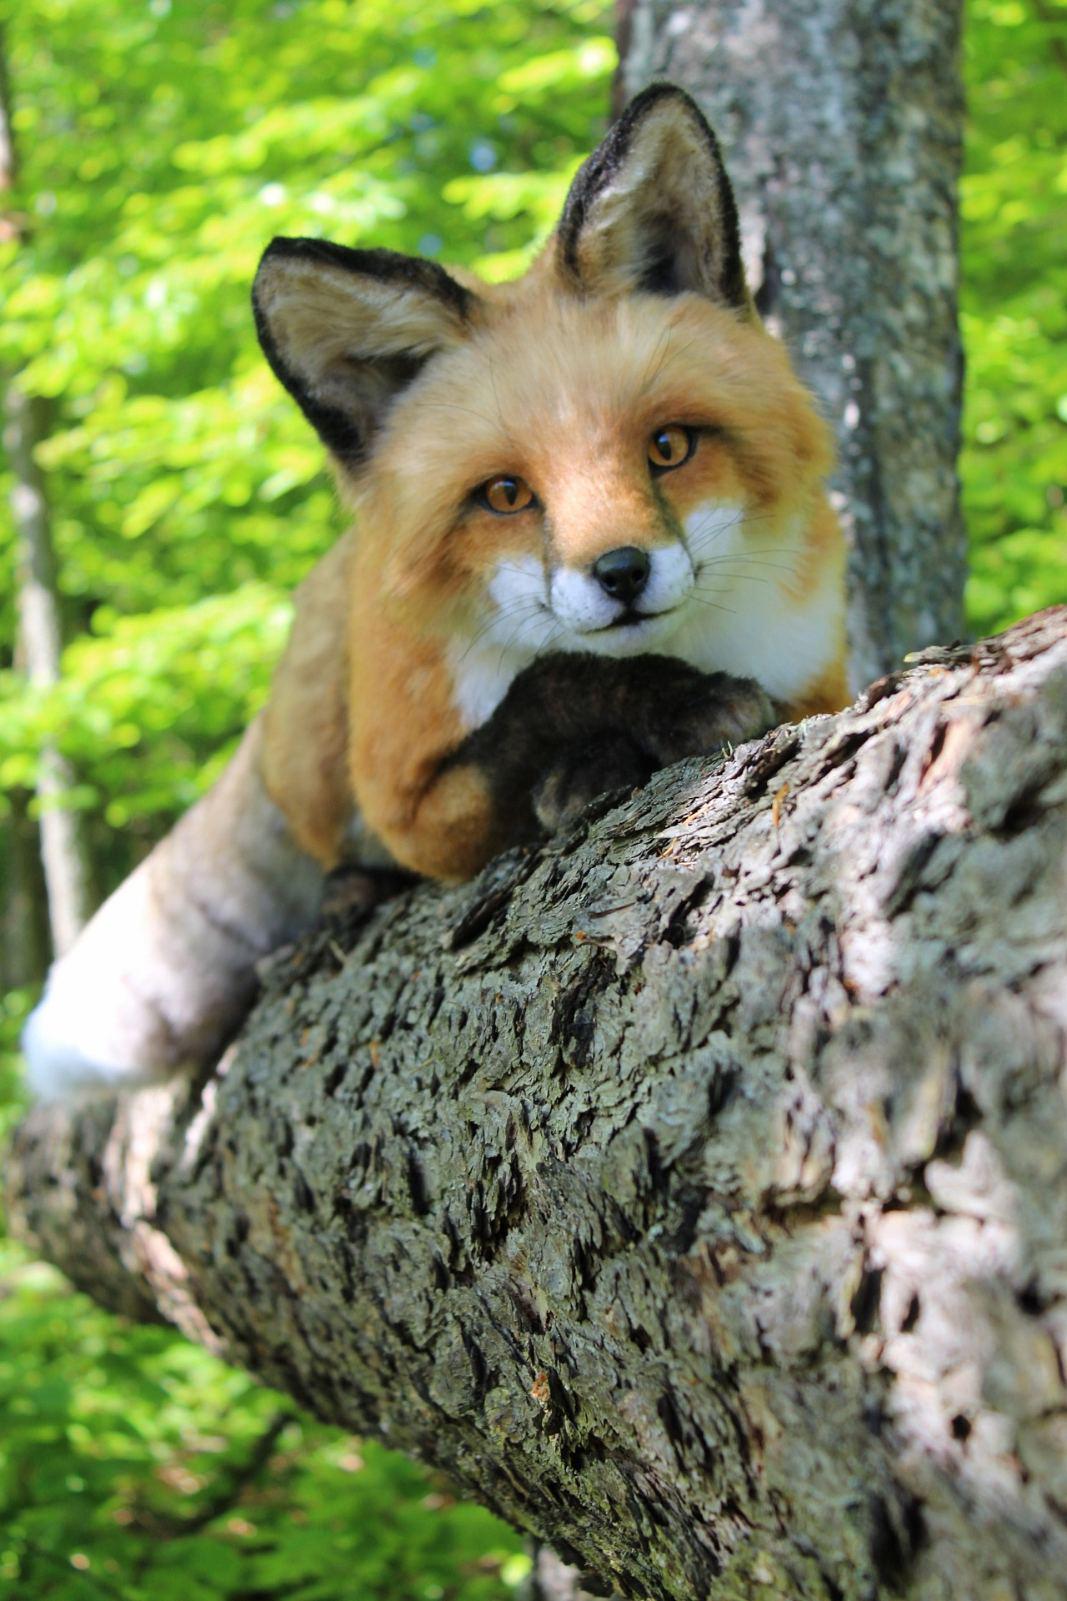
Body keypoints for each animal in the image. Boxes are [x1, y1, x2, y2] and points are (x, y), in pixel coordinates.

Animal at [23, 84, 847, 1100]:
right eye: (506, 496)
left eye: (667, 447)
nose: (620, 574)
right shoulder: (413, 802)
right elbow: (546, 689)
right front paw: (631, 728)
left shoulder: (815, 675)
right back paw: (349, 891)